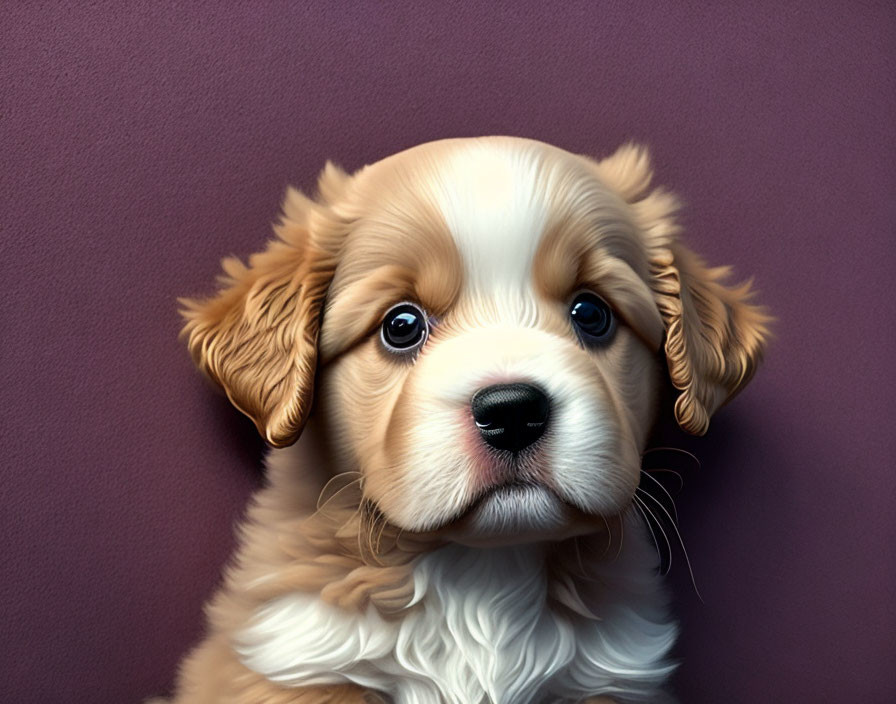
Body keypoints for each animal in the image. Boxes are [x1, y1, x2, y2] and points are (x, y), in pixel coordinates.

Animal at [170, 138, 768, 704]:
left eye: (592, 313)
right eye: (401, 325)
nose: (513, 412)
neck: (481, 574)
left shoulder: (610, 680)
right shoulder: (300, 657)